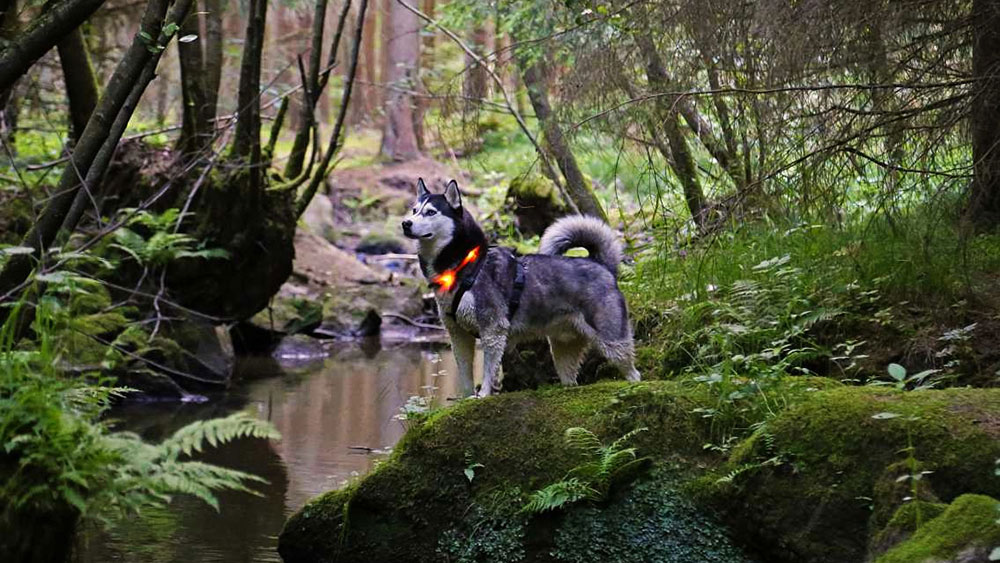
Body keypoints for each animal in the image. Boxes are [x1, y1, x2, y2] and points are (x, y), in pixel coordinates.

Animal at [400, 180, 640, 396]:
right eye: (414, 210)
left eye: (431, 212)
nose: (405, 223)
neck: (465, 264)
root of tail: (603, 265)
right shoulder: (458, 334)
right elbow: (465, 375)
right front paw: (465, 400)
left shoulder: (493, 329)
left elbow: (488, 372)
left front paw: (483, 395)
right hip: (563, 348)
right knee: (570, 379)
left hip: (612, 341)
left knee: (633, 372)